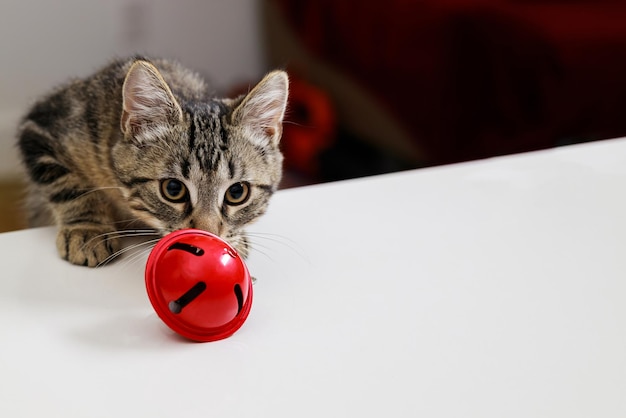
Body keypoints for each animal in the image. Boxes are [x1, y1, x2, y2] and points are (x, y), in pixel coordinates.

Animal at [17, 55, 288, 266]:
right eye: (173, 189)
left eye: (237, 192)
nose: (207, 235)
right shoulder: (42, 125)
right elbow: (69, 186)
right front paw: (88, 230)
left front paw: (236, 239)